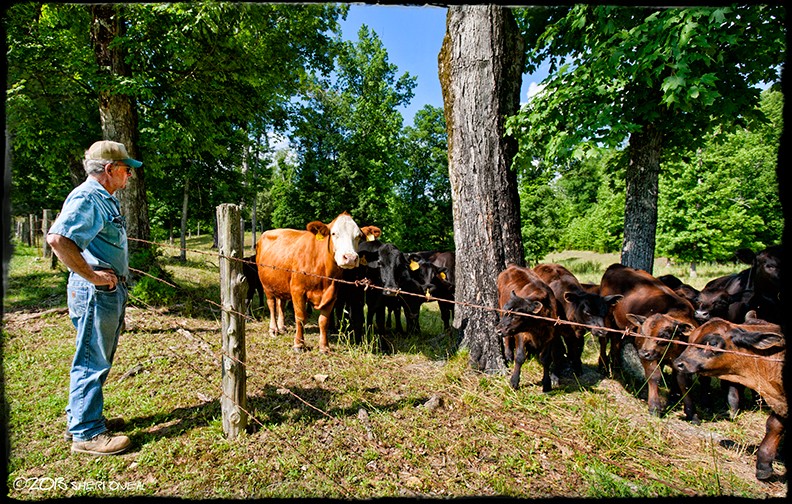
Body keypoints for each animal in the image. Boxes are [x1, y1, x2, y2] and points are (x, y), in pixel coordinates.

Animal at [255, 212, 378, 353]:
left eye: (358, 236)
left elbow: (323, 321)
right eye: (334, 233)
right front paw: (299, 344)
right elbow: (300, 318)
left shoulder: (332, 294)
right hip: (266, 285)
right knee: (271, 304)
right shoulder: (297, 290)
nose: (350, 258)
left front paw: (324, 347)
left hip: (281, 284)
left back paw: (282, 327)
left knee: (281, 304)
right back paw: (273, 329)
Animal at [599, 263, 700, 421]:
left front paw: (691, 413)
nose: (643, 353)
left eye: (664, 335)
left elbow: (684, 382)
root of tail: (617, 266)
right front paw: (654, 406)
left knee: (615, 343)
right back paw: (603, 366)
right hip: (607, 318)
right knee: (604, 341)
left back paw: (615, 369)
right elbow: (654, 376)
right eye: (643, 333)